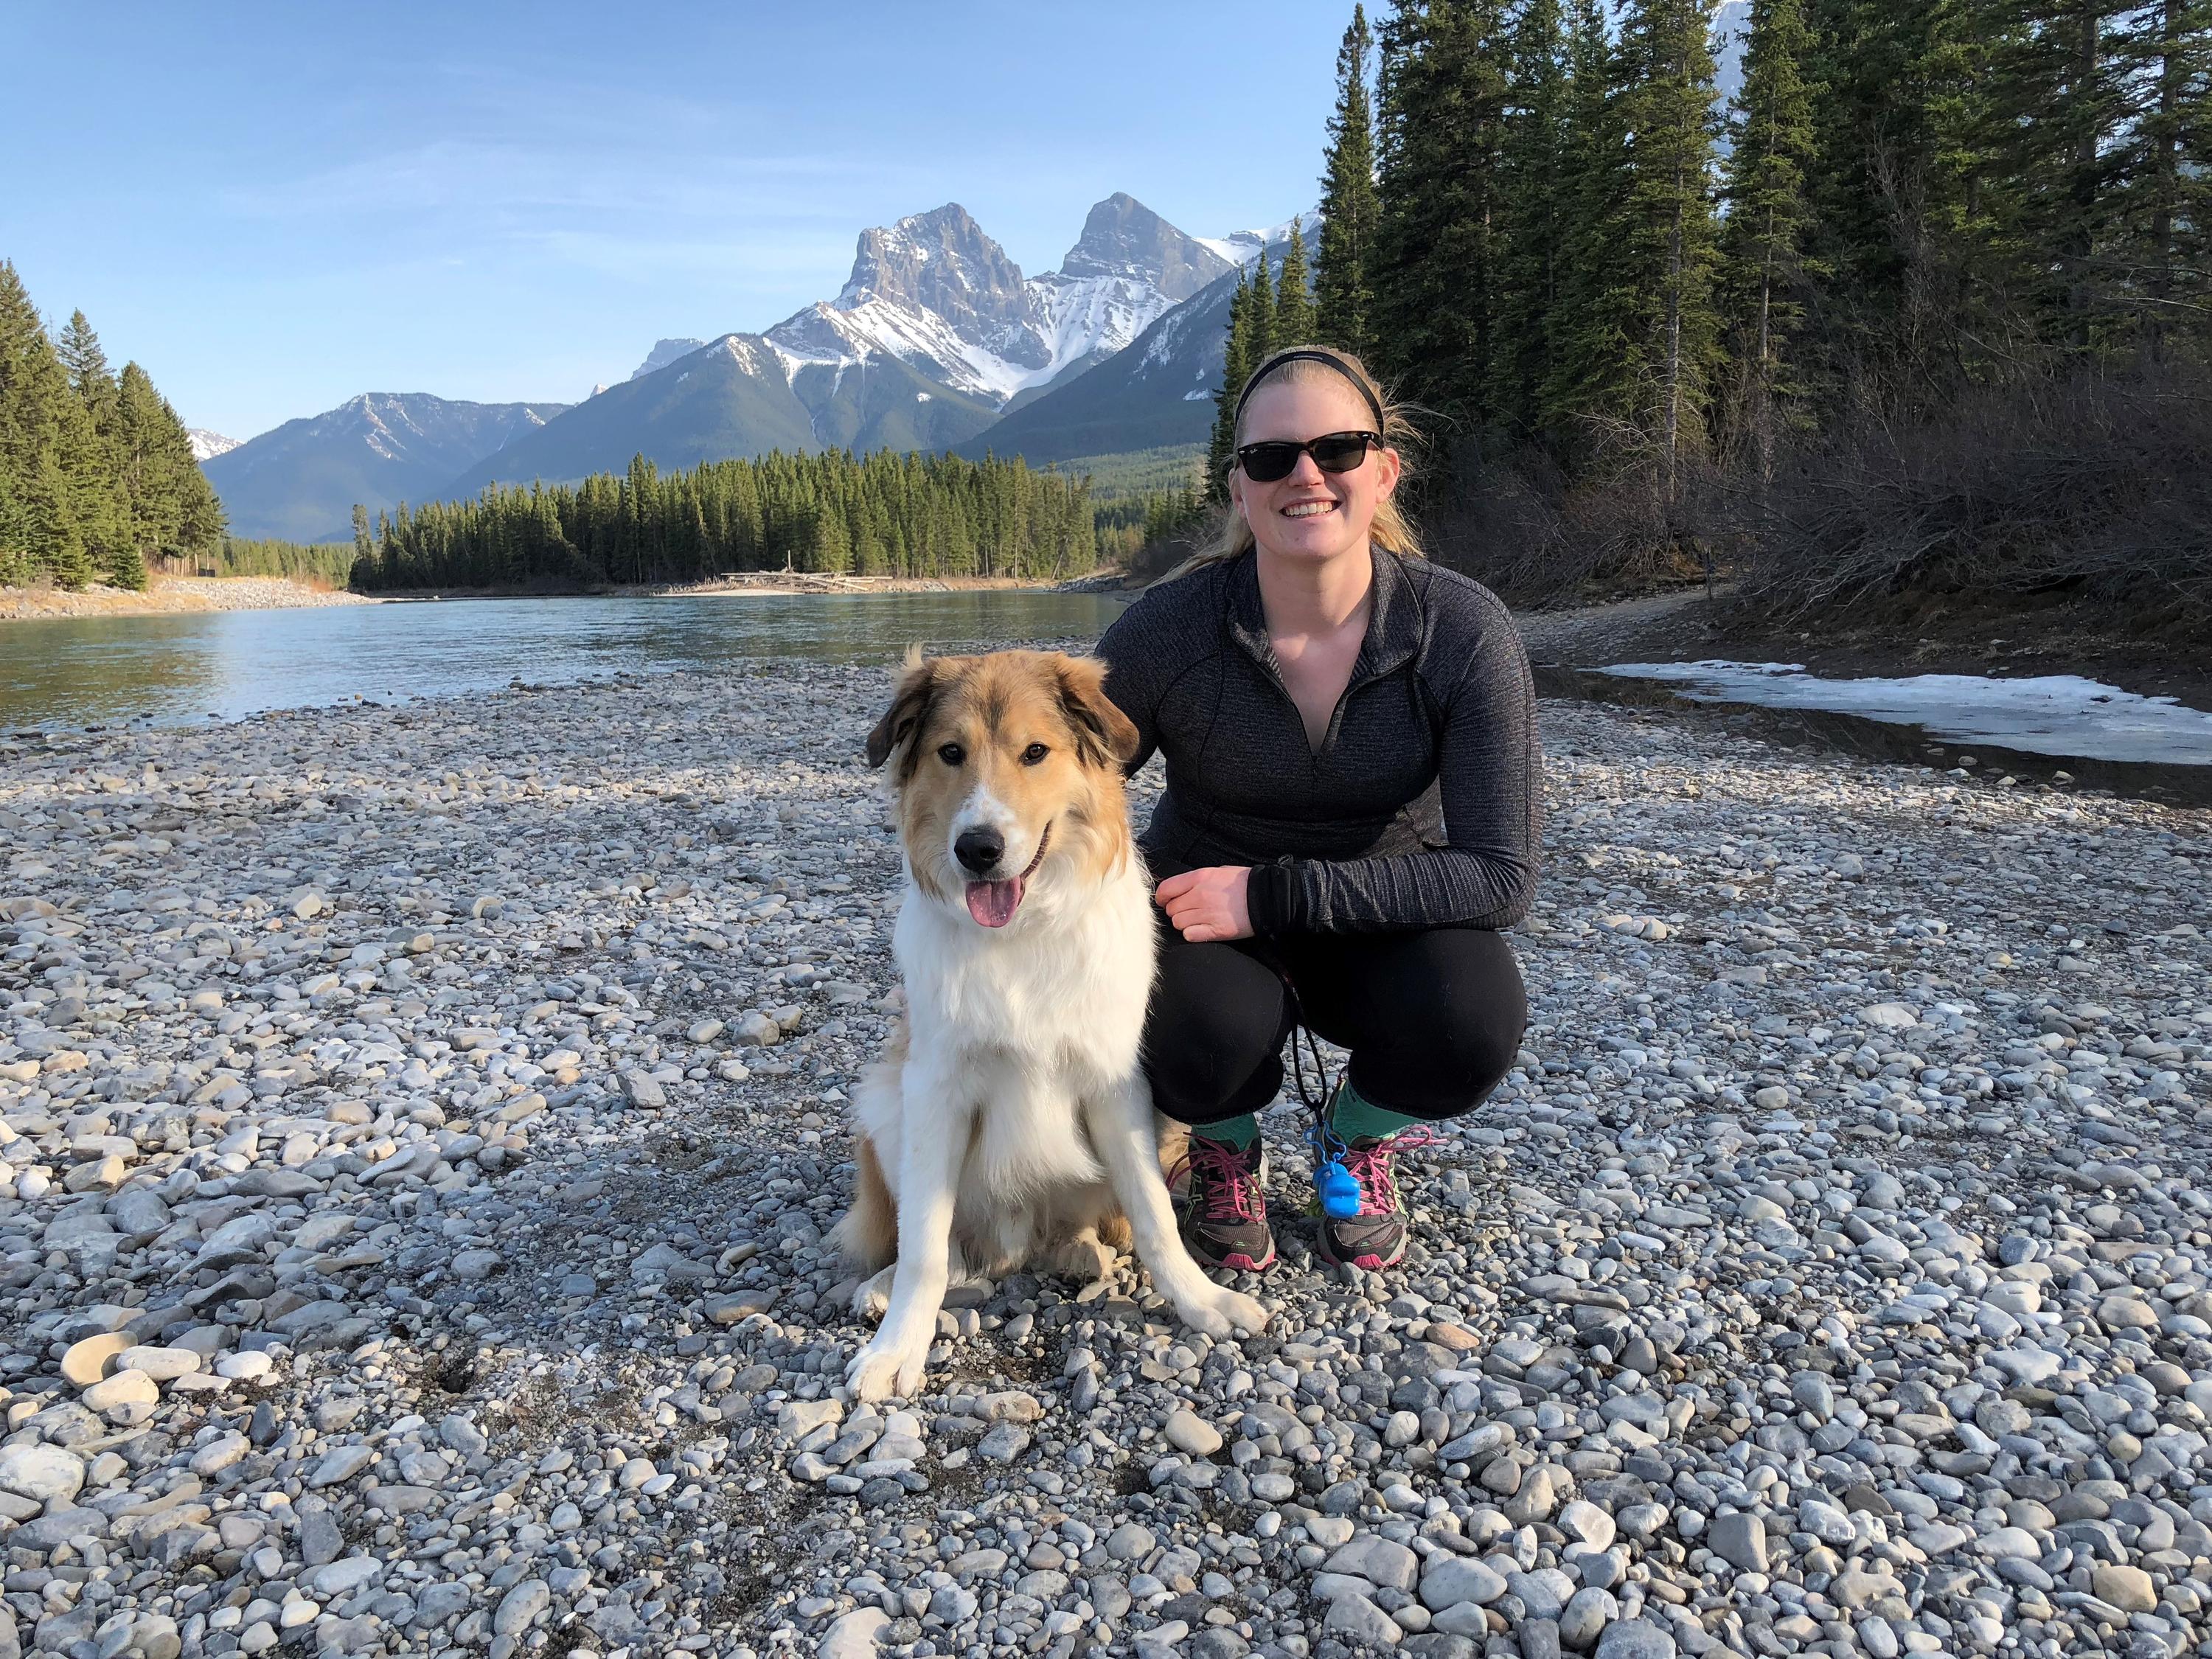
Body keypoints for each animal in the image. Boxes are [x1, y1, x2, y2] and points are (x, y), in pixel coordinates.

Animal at [832, 650, 1283, 1407]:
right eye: (950, 753)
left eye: (1035, 752)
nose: (978, 849)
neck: (1020, 934)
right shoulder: (934, 1089)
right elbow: (924, 1242)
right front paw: (898, 1348)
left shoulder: (1115, 1083)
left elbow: (1156, 1216)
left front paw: (1201, 1301)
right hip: (884, 1103)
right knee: (952, 1246)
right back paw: (886, 1288)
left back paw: (1082, 1251)